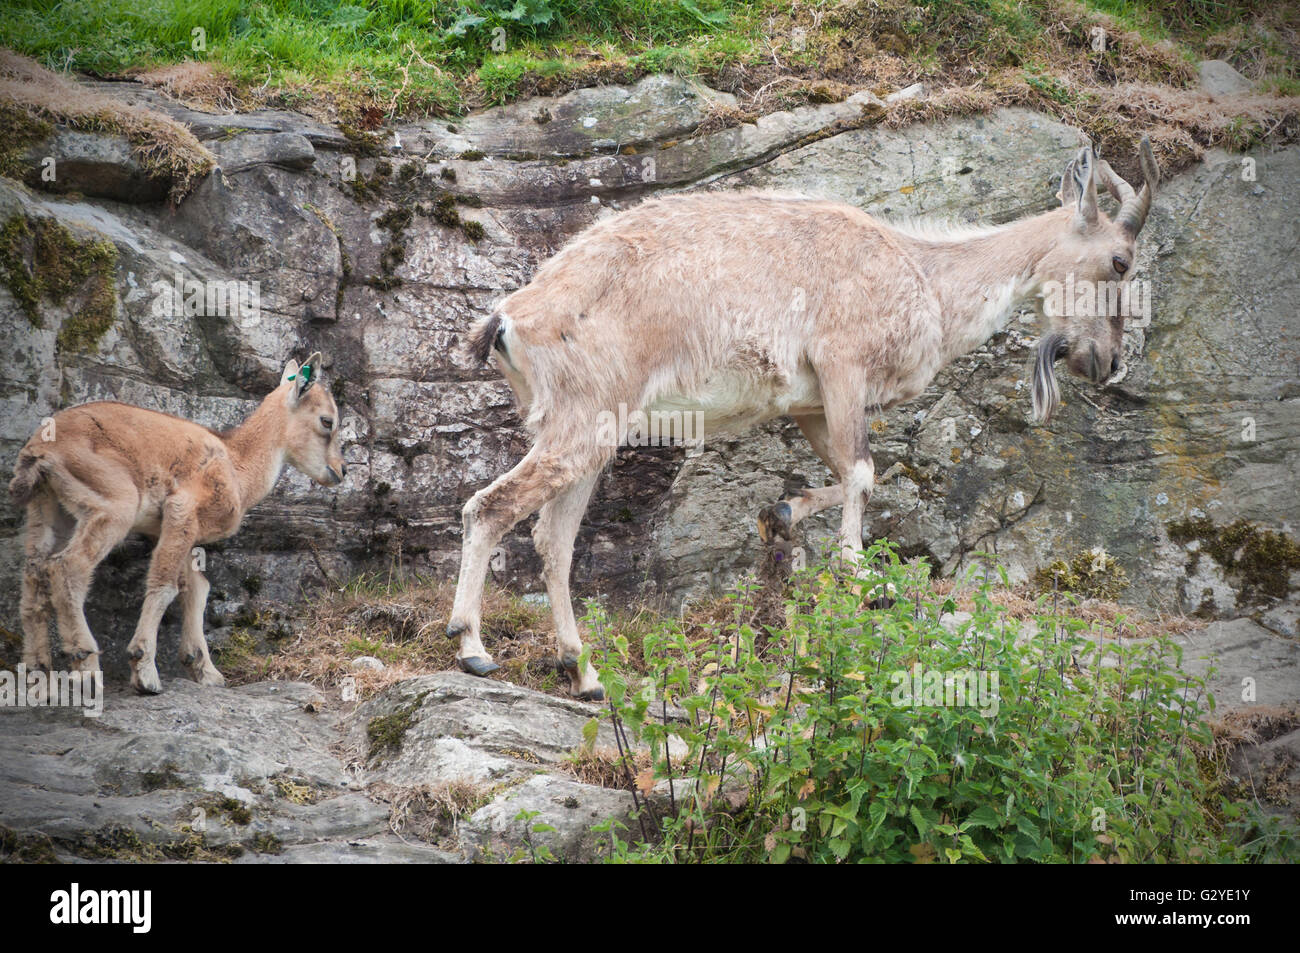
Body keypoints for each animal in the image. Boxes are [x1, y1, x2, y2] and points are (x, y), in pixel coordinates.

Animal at [454, 141, 1159, 696]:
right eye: (1120, 261)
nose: (1107, 361)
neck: (924, 277)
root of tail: (509, 321)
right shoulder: (844, 364)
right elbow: (865, 472)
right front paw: (862, 576)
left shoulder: (809, 405)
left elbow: (847, 473)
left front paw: (784, 513)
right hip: (584, 421)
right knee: (489, 508)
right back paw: (473, 649)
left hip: (584, 432)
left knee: (553, 538)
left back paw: (584, 673)